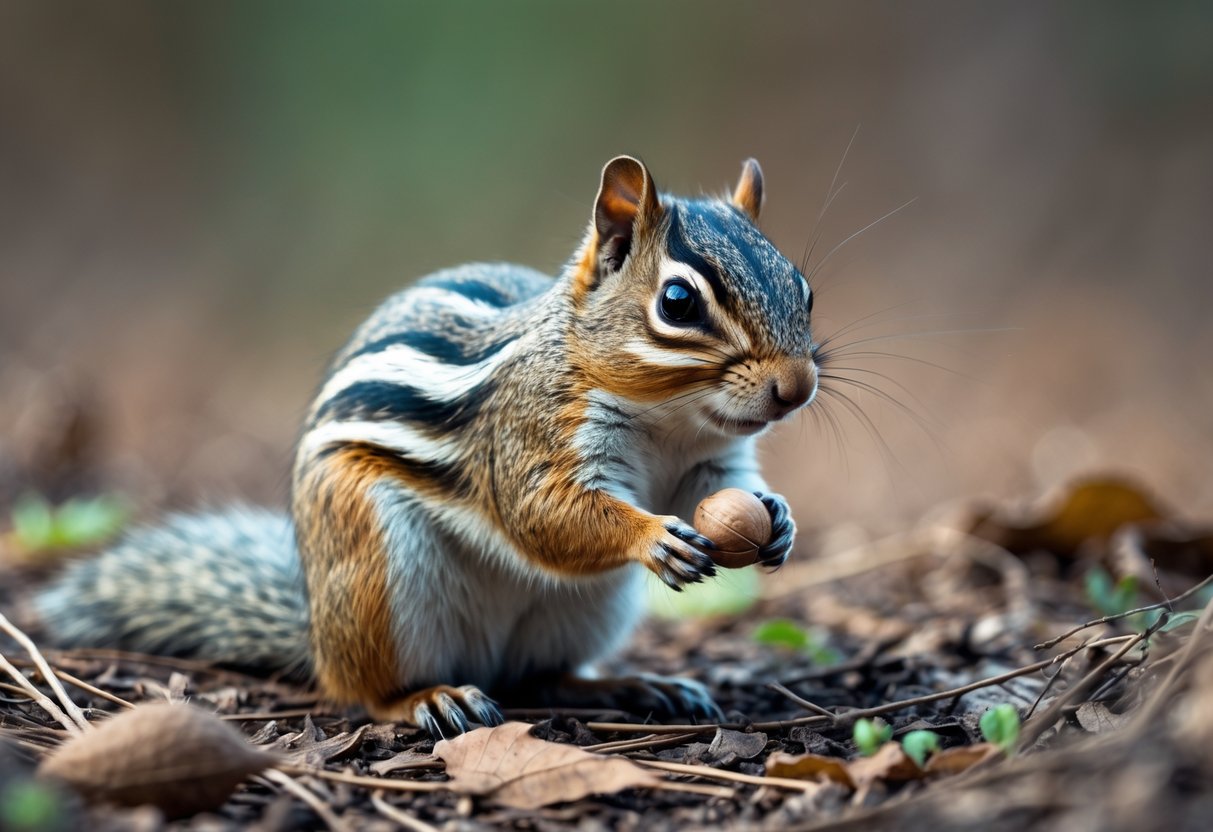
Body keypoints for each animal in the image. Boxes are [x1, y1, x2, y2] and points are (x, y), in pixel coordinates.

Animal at [35, 156, 817, 737]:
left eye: (802, 289)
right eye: (678, 303)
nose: (798, 386)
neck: (669, 419)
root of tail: (315, 631)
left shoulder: (710, 463)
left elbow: (719, 496)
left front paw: (778, 520)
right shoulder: (527, 432)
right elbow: (544, 514)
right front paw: (651, 535)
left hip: (585, 611)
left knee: (544, 676)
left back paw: (634, 686)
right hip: (375, 570)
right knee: (365, 689)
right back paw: (428, 699)